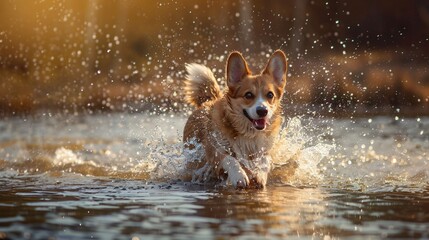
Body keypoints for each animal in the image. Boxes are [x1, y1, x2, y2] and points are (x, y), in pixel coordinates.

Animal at [181, 49, 286, 188]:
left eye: (270, 95)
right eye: (248, 95)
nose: (263, 111)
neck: (248, 135)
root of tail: (208, 101)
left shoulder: (265, 151)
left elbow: (265, 161)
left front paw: (259, 174)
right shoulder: (214, 150)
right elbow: (231, 159)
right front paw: (239, 176)